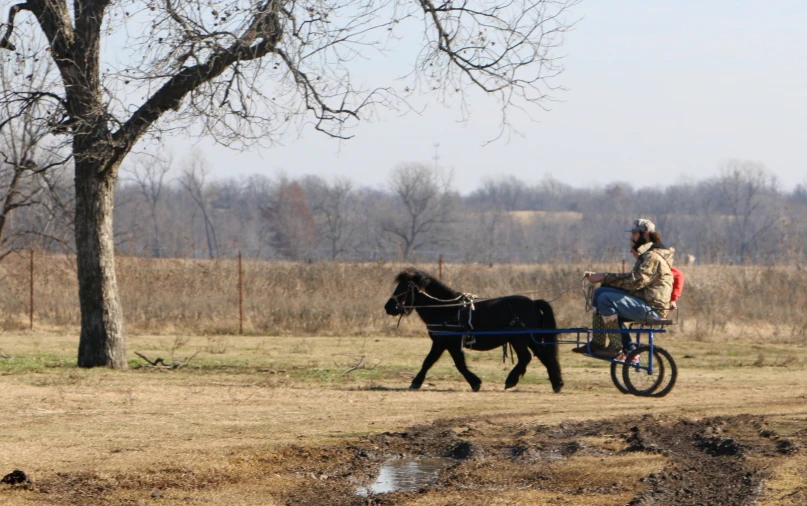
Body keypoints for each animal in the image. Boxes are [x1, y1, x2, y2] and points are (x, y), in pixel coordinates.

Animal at [384, 266, 560, 394]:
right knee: (544, 356)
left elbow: (446, 362)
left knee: (526, 357)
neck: (446, 309)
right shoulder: (445, 343)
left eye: (405, 287)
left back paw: (511, 380)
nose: (388, 307)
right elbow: (438, 361)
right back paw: (557, 383)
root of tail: (534, 303)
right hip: (531, 339)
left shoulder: (447, 342)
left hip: (519, 339)